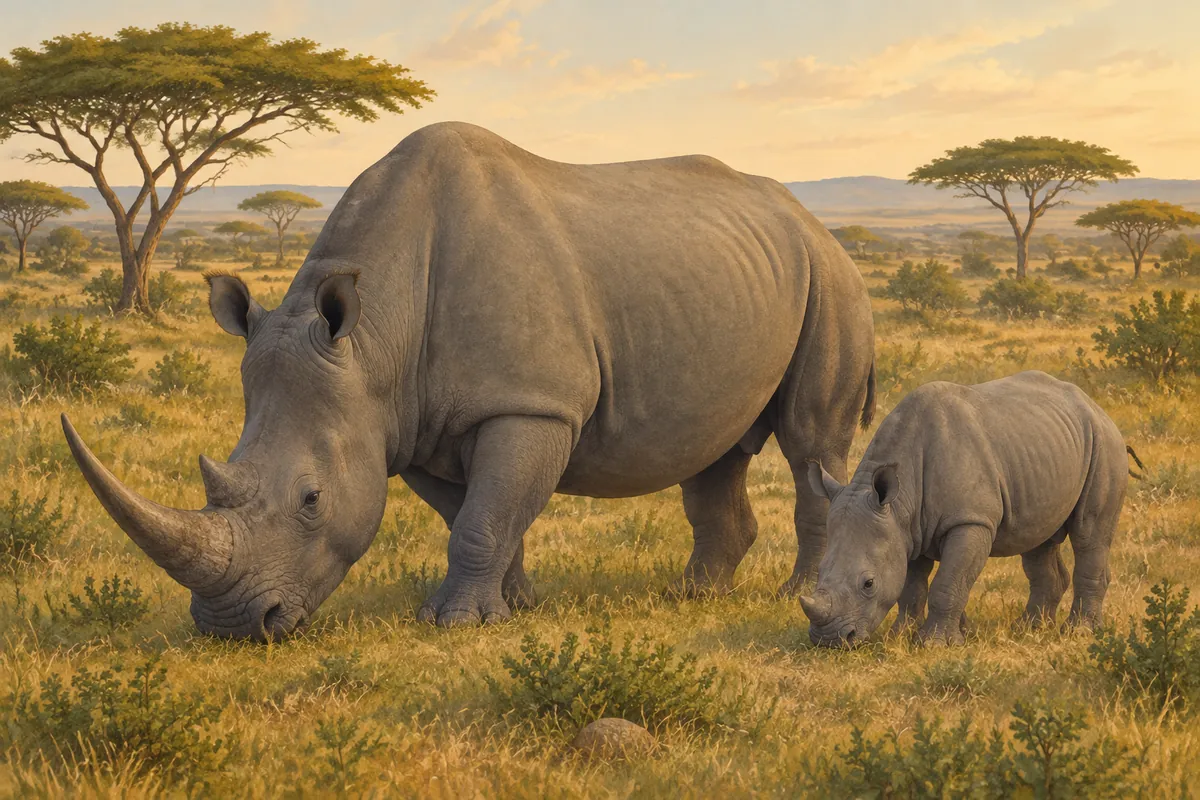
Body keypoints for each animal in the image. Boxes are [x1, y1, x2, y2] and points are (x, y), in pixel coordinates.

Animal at [62, 121, 875, 640]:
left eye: (311, 500)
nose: (233, 627)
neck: (373, 340)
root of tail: (810, 219)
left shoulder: (530, 405)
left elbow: (484, 518)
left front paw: (454, 624)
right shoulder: (407, 422)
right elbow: (480, 516)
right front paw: (516, 607)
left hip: (833, 277)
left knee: (811, 446)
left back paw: (793, 595)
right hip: (748, 278)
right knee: (715, 451)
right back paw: (693, 595)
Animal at [801, 371, 1130, 647]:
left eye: (868, 583)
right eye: (819, 571)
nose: (828, 640)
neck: (900, 502)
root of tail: (1096, 406)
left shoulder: (970, 521)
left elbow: (948, 582)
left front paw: (933, 644)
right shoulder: (907, 530)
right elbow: (913, 587)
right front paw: (904, 636)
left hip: (1104, 443)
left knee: (1089, 535)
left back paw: (1080, 632)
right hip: (1046, 449)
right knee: (1038, 541)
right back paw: (1029, 629)